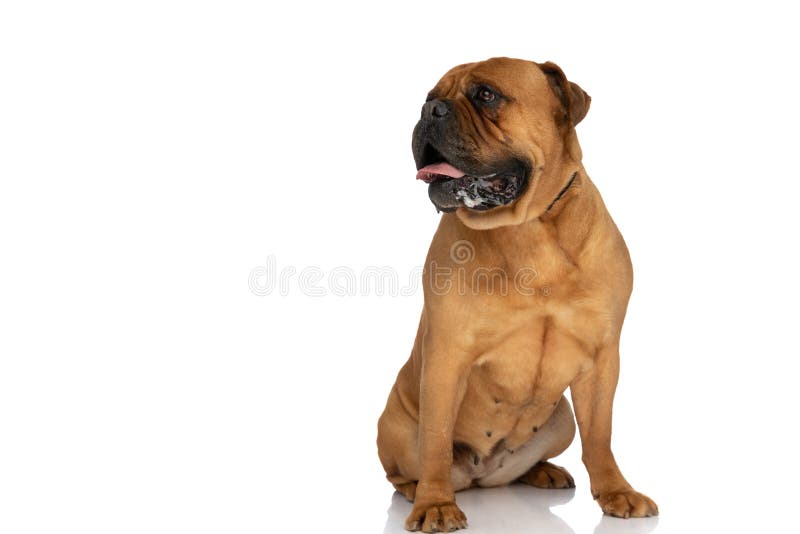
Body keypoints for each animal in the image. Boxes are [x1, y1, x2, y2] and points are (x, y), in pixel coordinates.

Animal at [378, 56, 660, 532]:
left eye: (486, 95)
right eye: (429, 96)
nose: (429, 110)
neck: (527, 226)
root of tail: (483, 475)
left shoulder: (602, 357)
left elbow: (600, 434)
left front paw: (616, 491)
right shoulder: (447, 355)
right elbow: (435, 439)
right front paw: (435, 503)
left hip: (562, 419)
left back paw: (544, 471)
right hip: (394, 424)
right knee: (405, 467)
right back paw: (417, 489)